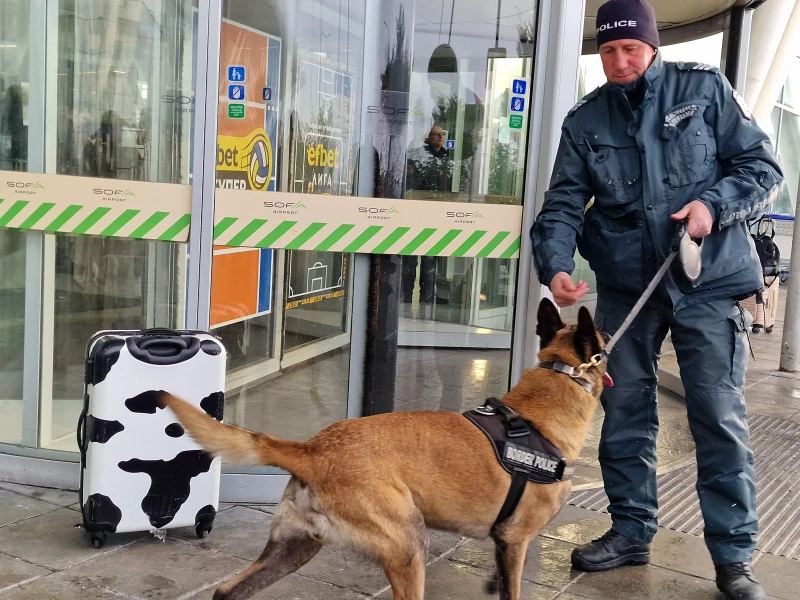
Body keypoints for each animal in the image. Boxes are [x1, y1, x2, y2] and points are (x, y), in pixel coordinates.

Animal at [159, 300, 604, 600]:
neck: (538, 411)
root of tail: (313, 450)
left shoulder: (503, 544)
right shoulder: (516, 540)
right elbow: (512, 589)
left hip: (294, 548)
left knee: (228, 591)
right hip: (409, 548)